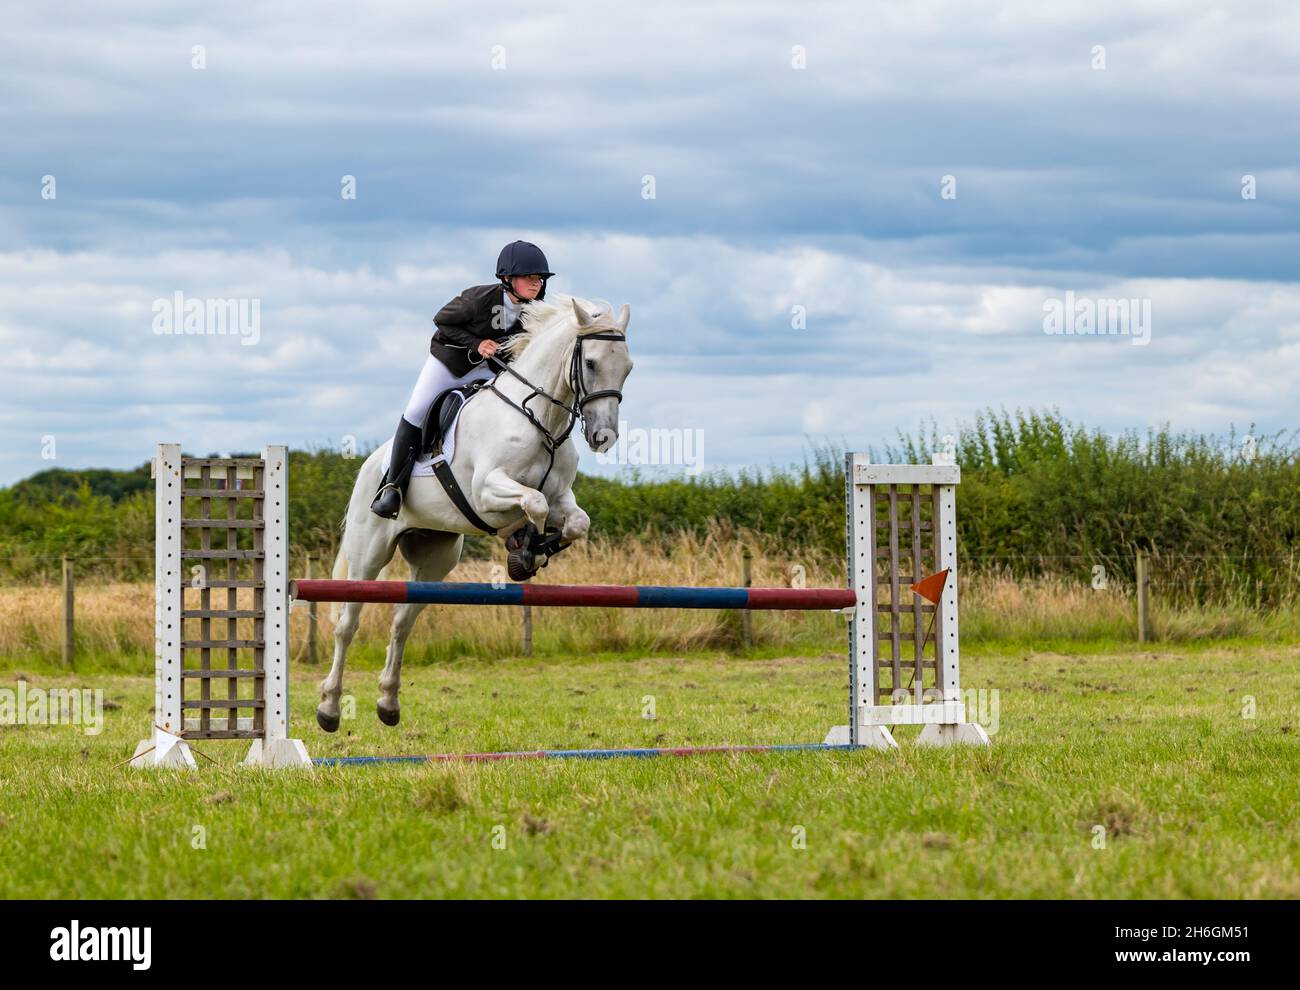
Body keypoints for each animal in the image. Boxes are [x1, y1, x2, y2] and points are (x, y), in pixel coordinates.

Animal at [316, 294, 633, 731]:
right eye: (590, 363)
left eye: (628, 367)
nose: (604, 438)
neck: (539, 419)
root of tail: (369, 465)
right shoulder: (486, 492)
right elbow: (532, 505)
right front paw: (524, 551)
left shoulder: (560, 497)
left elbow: (575, 522)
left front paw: (531, 552)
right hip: (369, 553)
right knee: (348, 624)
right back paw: (329, 708)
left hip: (435, 559)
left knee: (402, 623)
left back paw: (388, 703)